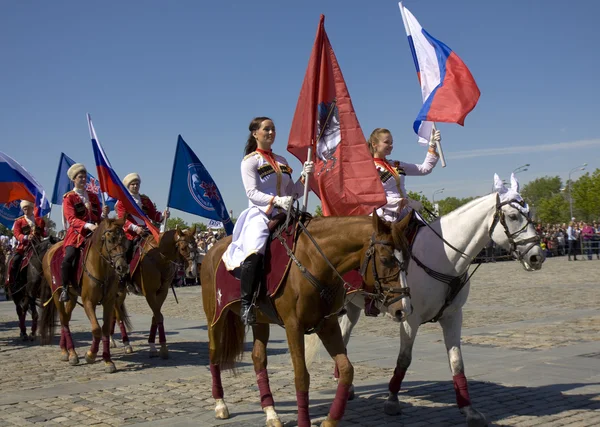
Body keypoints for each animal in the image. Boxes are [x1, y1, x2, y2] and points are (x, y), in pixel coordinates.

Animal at [40, 219, 129, 372]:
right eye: (110, 240)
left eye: (124, 239)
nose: (122, 267)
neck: (101, 267)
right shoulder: (88, 302)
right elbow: (96, 329)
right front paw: (91, 355)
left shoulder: (109, 302)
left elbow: (105, 329)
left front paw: (108, 361)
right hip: (57, 293)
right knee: (63, 319)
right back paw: (70, 353)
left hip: (72, 297)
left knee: (66, 318)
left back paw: (67, 351)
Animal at [110, 229, 199, 360]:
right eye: (183, 248)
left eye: (196, 246)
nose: (192, 272)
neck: (158, 258)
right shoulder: (150, 293)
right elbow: (158, 316)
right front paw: (162, 348)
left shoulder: (162, 293)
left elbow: (155, 316)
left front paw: (153, 346)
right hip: (117, 293)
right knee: (118, 315)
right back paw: (126, 344)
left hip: (121, 294)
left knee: (113, 315)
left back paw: (112, 340)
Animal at [202, 214, 412, 427]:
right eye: (385, 260)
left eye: (408, 258)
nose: (403, 309)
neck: (314, 261)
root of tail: (213, 249)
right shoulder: (293, 327)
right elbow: (301, 376)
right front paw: (305, 421)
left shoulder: (328, 325)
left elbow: (346, 369)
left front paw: (330, 420)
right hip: (214, 317)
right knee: (214, 354)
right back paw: (220, 404)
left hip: (260, 321)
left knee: (258, 358)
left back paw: (271, 413)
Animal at [308, 172, 548, 426]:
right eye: (512, 216)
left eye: (530, 214)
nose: (537, 256)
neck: (444, 258)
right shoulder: (409, 319)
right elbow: (404, 359)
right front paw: (392, 401)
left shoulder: (453, 316)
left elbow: (456, 360)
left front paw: (469, 410)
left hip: (353, 307)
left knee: (344, 338)